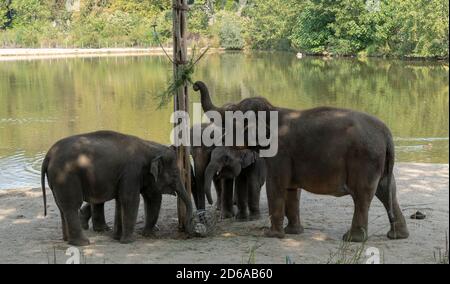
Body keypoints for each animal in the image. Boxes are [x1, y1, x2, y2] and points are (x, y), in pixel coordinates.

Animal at [42, 130, 195, 245]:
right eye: (175, 174)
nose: (189, 232)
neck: (149, 145)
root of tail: (49, 155)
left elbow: (121, 200)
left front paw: (117, 238)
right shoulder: (132, 171)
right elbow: (131, 199)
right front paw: (129, 241)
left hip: (57, 180)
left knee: (62, 207)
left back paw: (67, 240)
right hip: (66, 177)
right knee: (71, 206)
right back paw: (83, 243)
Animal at [192, 80, 410, 242]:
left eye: (231, 120)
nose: (195, 85)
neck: (272, 109)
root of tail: (387, 134)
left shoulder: (280, 153)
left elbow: (275, 186)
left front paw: (272, 235)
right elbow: (291, 190)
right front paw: (294, 232)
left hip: (364, 159)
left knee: (362, 195)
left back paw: (352, 239)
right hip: (379, 162)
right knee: (387, 190)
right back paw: (397, 235)